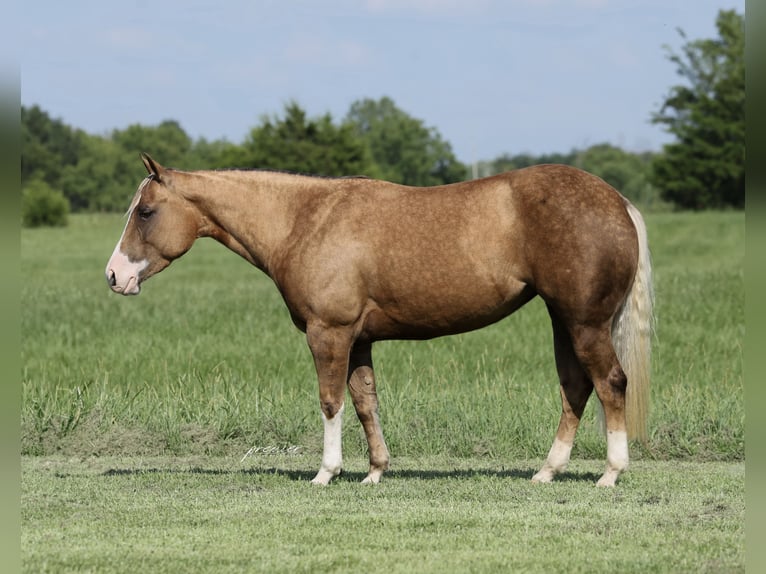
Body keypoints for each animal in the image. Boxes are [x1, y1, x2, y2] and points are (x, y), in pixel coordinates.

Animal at [106, 153, 653, 487]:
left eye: (146, 212)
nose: (114, 276)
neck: (304, 220)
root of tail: (617, 201)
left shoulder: (329, 334)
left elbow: (330, 402)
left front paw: (326, 472)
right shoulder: (360, 340)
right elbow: (365, 402)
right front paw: (374, 471)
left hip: (584, 323)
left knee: (610, 382)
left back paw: (610, 472)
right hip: (564, 321)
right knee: (575, 388)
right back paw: (547, 471)